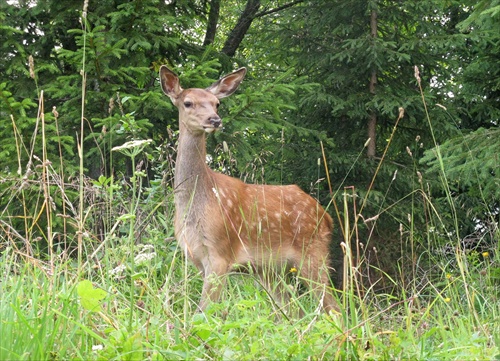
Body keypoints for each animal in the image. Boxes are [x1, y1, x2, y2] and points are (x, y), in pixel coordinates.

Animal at [160, 65, 340, 316]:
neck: (195, 203)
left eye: (217, 103)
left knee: (334, 308)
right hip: (269, 269)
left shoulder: (220, 253)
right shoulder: (196, 258)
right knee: (295, 311)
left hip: (313, 253)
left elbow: (204, 313)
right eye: (187, 102)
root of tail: (326, 217)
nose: (215, 120)